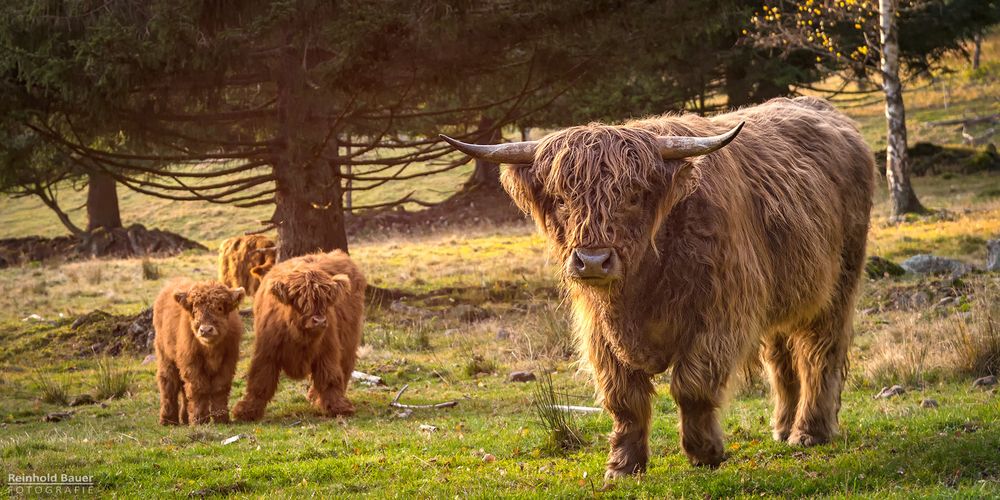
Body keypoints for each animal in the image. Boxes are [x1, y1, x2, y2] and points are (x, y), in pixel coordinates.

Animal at [153, 280, 245, 424]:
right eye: (195, 311)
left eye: (219, 308)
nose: (206, 330)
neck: (210, 349)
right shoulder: (191, 362)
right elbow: (199, 389)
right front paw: (200, 419)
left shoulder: (228, 362)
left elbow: (220, 388)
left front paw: (221, 417)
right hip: (165, 355)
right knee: (168, 383)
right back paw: (168, 420)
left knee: (183, 388)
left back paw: (185, 418)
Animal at [231, 248, 368, 420]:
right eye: (300, 300)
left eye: (326, 300)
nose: (319, 321)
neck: (300, 337)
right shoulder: (267, 352)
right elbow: (260, 380)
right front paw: (246, 411)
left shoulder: (328, 350)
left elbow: (329, 377)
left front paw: (339, 407)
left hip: (349, 341)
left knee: (344, 368)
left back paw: (317, 399)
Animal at [446, 96, 876, 476]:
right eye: (562, 199)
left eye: (634, 196)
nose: (593, 261)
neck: (642, 283)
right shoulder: (598, 329)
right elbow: (624, 398)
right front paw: (622, 465)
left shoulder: (720, 316)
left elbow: (691, 386)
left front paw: (705, 452)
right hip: (782, 296)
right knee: (781, 359)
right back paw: (783, 428)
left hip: (839, 285)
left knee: (820, 354)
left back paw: (809, 431)